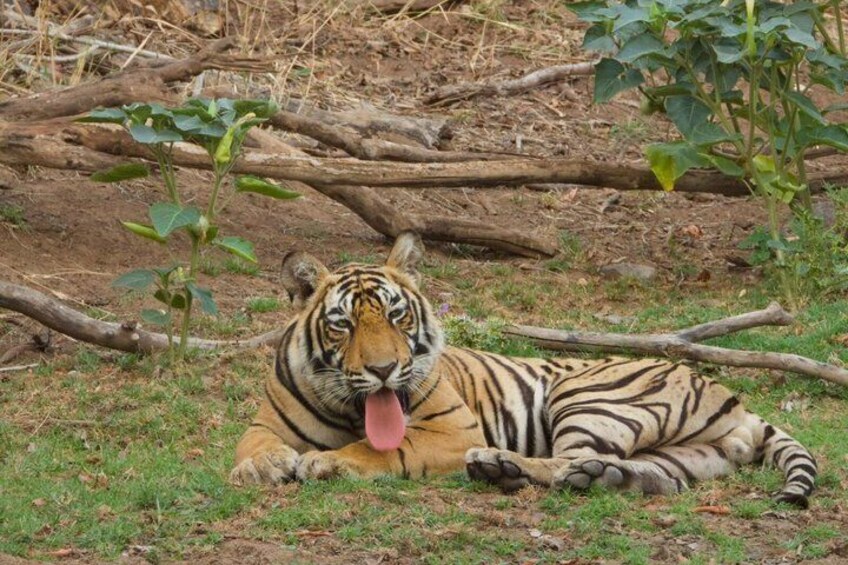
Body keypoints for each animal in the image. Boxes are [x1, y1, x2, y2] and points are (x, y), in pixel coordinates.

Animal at [230, 232, 817, 508]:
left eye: (397, 316)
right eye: (344, 325)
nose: (383, 369)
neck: (353, 407)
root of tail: (736, 401)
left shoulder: (453, 429)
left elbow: (381, 449)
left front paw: (327, 462)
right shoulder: (266, 421)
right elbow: (251, 444)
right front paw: (260, 467)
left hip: (590, 398)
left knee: (566, 462)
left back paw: (499, 465)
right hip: (686, 456)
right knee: (648, 479)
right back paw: (590, 476)